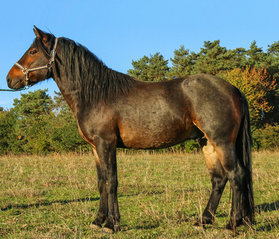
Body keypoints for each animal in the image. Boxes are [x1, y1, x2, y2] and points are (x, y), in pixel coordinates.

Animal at [7, 26, 256, 233]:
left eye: (32, 51)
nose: (10, 79)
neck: (96, 94)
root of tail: (233, 89)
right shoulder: (95, 148)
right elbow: (101, 182)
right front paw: (98, 221)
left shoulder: (106, 144)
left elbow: (112, 181)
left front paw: (112, 224)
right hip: (207, 143)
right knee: (219, 179)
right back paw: (204, 221)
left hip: (222, 142)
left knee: (236, 175)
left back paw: (232, 225)